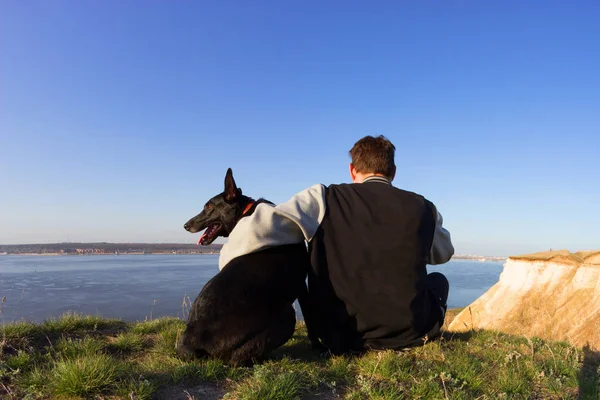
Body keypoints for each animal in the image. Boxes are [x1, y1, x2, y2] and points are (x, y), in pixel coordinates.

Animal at [177, 169, 322, 366]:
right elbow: (310, 318)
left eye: (209, 206)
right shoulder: (301, 284)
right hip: (287, 314)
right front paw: (318, 347)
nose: (186, 225)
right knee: (236, 359)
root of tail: (193, 341)